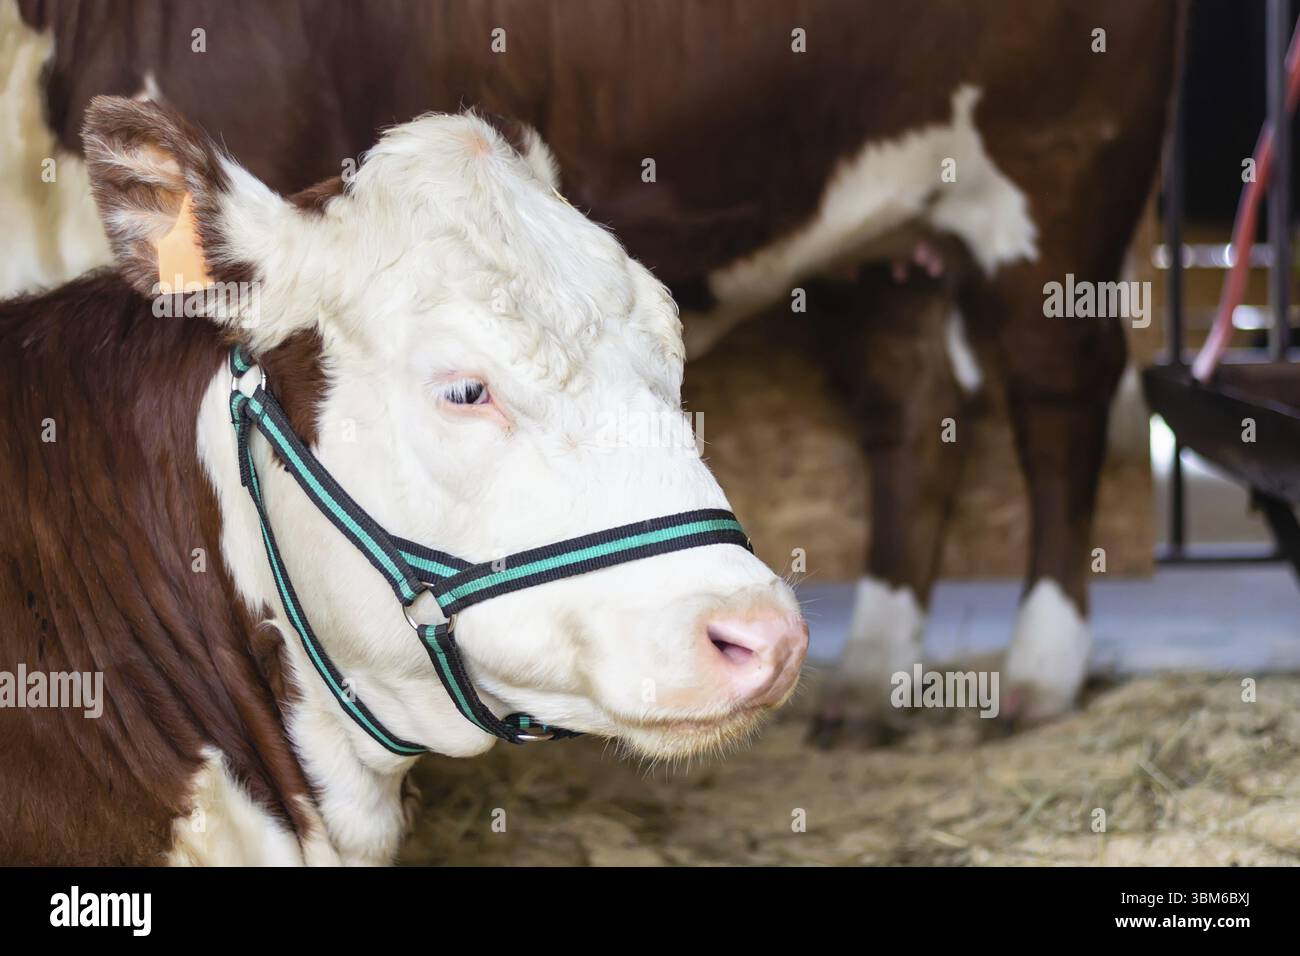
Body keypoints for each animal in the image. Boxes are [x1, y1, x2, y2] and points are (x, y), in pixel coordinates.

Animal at [1, 0, 1181, 739]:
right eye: (465, 388)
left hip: (1061, 165)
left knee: (1056, 400)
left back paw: (1040, 667)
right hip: (877, 241)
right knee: (913, 407)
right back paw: (870, 673)